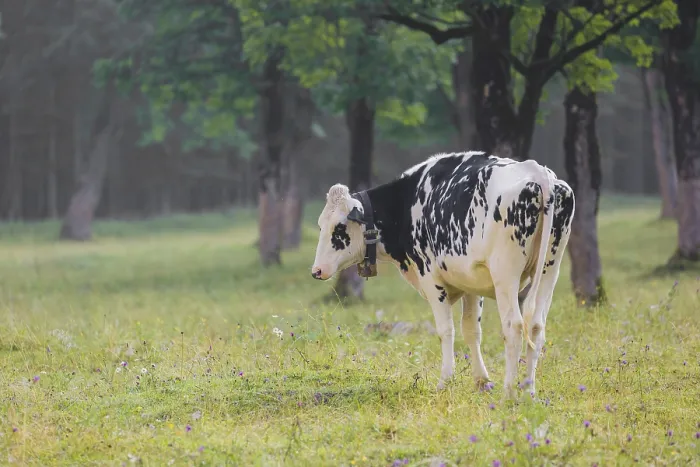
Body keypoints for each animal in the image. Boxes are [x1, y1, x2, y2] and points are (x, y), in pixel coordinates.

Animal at [311, 151, 575, 400]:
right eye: (320, 225)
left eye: (339, 227)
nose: (317, 270)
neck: (407, 203)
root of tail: (538, 172)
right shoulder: (470, 281)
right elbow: (471, 330)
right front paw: (482, 381)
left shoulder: (430, 277)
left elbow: (446, 330)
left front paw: (445, 380)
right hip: (550, 268)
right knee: (536, 326)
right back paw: (529, 391)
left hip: (505, 274)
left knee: (514, 326)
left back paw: (509, 393)